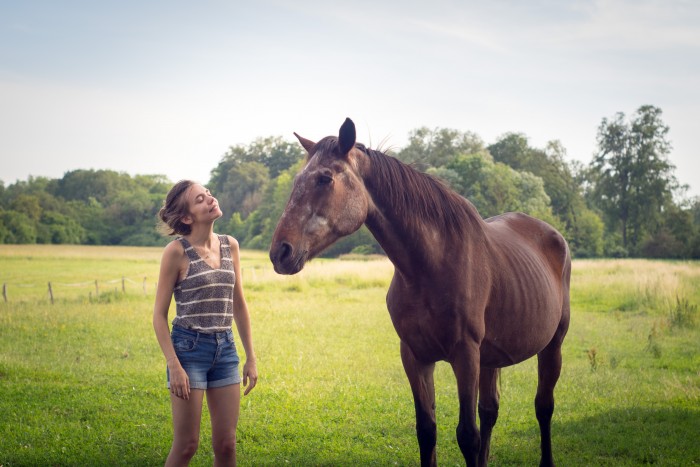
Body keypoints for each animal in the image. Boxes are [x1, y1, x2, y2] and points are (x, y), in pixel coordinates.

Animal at [268, 118, 568, 467]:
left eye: (324, 178)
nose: (280, 252)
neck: (430, 266)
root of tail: (553, 235)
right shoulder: (415, 356)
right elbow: (427, 430)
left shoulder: (465, 355)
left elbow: (467, 435)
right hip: (491, 357)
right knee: (490, 411)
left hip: (552, 345)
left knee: (543, 406)